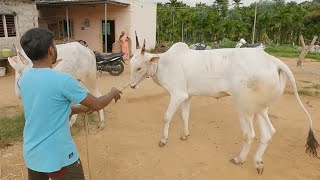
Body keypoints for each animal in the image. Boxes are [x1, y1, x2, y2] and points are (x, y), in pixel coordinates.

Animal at [129, 40, 318, 173]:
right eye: (131, 65)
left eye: (138, 68)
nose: (131, 86)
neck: (163, 63)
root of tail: (273, 61)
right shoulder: (187, 96)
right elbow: (185, 115)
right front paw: (185, 135)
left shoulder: (177, 94)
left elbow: (167, 116)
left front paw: (163, 140)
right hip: (259, 109)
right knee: (268, 132)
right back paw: (258, 162)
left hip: (244, 108)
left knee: (250, 135)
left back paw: (240, 159)